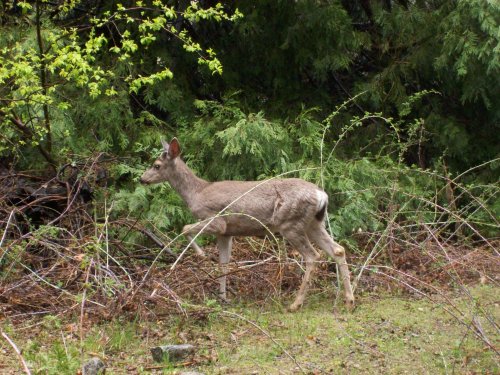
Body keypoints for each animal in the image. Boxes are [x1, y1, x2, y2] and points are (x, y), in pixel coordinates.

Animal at [139, 138, 354, 312]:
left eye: (156, 165)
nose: (142, 179)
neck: (197, 193)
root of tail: (321, 195)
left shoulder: (216, 221)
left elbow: (185, 229)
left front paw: (201, 254)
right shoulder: (227, 233)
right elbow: (224, 264)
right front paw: (223, 297)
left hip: (290, 224)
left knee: (313, 256)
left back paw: (295, 304)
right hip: (314, 223)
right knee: (338, 249)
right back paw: (349, 300)